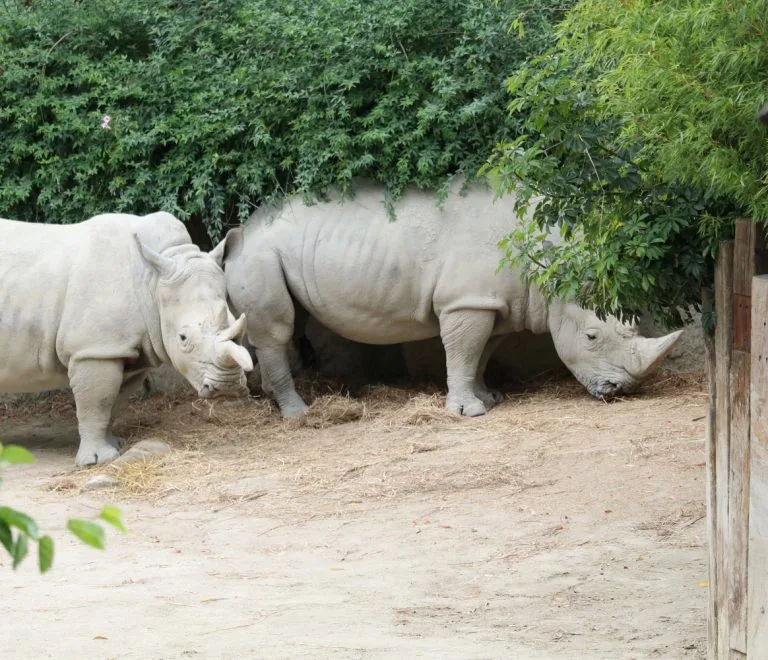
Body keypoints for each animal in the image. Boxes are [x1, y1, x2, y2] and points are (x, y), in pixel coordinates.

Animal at [0, 212, 253, 466]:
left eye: (237, 327)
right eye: (183, 338)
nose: (227, 386)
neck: (153, 283)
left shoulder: (127, 352)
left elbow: (113, 403)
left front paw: (116, 446)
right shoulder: (94, 350)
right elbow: (96, 404)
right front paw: (96, 460)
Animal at [215, 180, 682, 418]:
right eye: (591, 337)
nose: (619, 391)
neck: (546, 263)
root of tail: (241, 232)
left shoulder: (492, 302)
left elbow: (480, 352)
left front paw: (488, 399)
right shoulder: (466, 300)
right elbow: (462, 351)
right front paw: (467, 412)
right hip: (262, 254)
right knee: (277, 330)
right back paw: (299, 414)